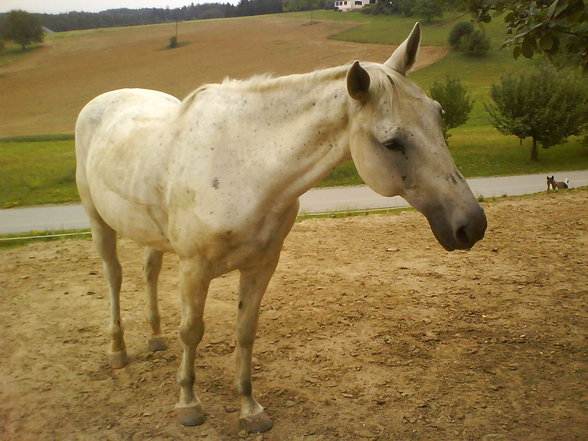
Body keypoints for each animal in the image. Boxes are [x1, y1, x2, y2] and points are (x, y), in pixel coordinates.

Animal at [74, 23, 486, 430]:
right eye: (392, 142)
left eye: (438, 114)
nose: (472, 225)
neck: (245, 165)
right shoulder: (194, 268)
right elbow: (192, 331)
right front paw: (189, 404)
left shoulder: (261, 265)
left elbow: (245, 331)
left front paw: (250, 409)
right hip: (98, 221)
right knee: (114, 276)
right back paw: (117, 350)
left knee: (150, 271)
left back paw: (156, 338)